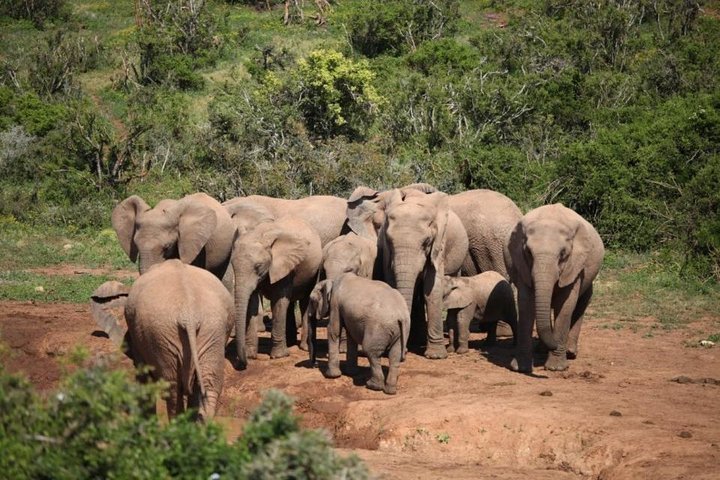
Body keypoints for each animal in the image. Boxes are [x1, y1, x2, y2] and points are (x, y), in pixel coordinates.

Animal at [232, 215, 322, 368]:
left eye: (258, 266)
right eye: (232, 264)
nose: (243, 363)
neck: (260, 233)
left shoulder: (285, 265)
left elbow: (279, 302)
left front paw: (279, 356)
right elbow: (252, 303)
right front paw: (250, 355)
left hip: (313, 271)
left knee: (305, 301)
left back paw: (303, 347)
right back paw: (291, 342)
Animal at [380, 189, 470, 358]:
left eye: (426, 242)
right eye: (389, 240)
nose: (403, 353)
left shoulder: (439, 243)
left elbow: (432, 288)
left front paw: (436, 356)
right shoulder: (387, 253)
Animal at [504, 204, 604, 374]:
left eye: (563, 254)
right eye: (528, 252)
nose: (555, 345)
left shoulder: (574, 265)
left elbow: (565, 305)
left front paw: (556, 368)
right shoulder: (522, 265)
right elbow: (526, 304)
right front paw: (521, 368)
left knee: (581, 304)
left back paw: (570, 352)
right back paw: (542, 350)